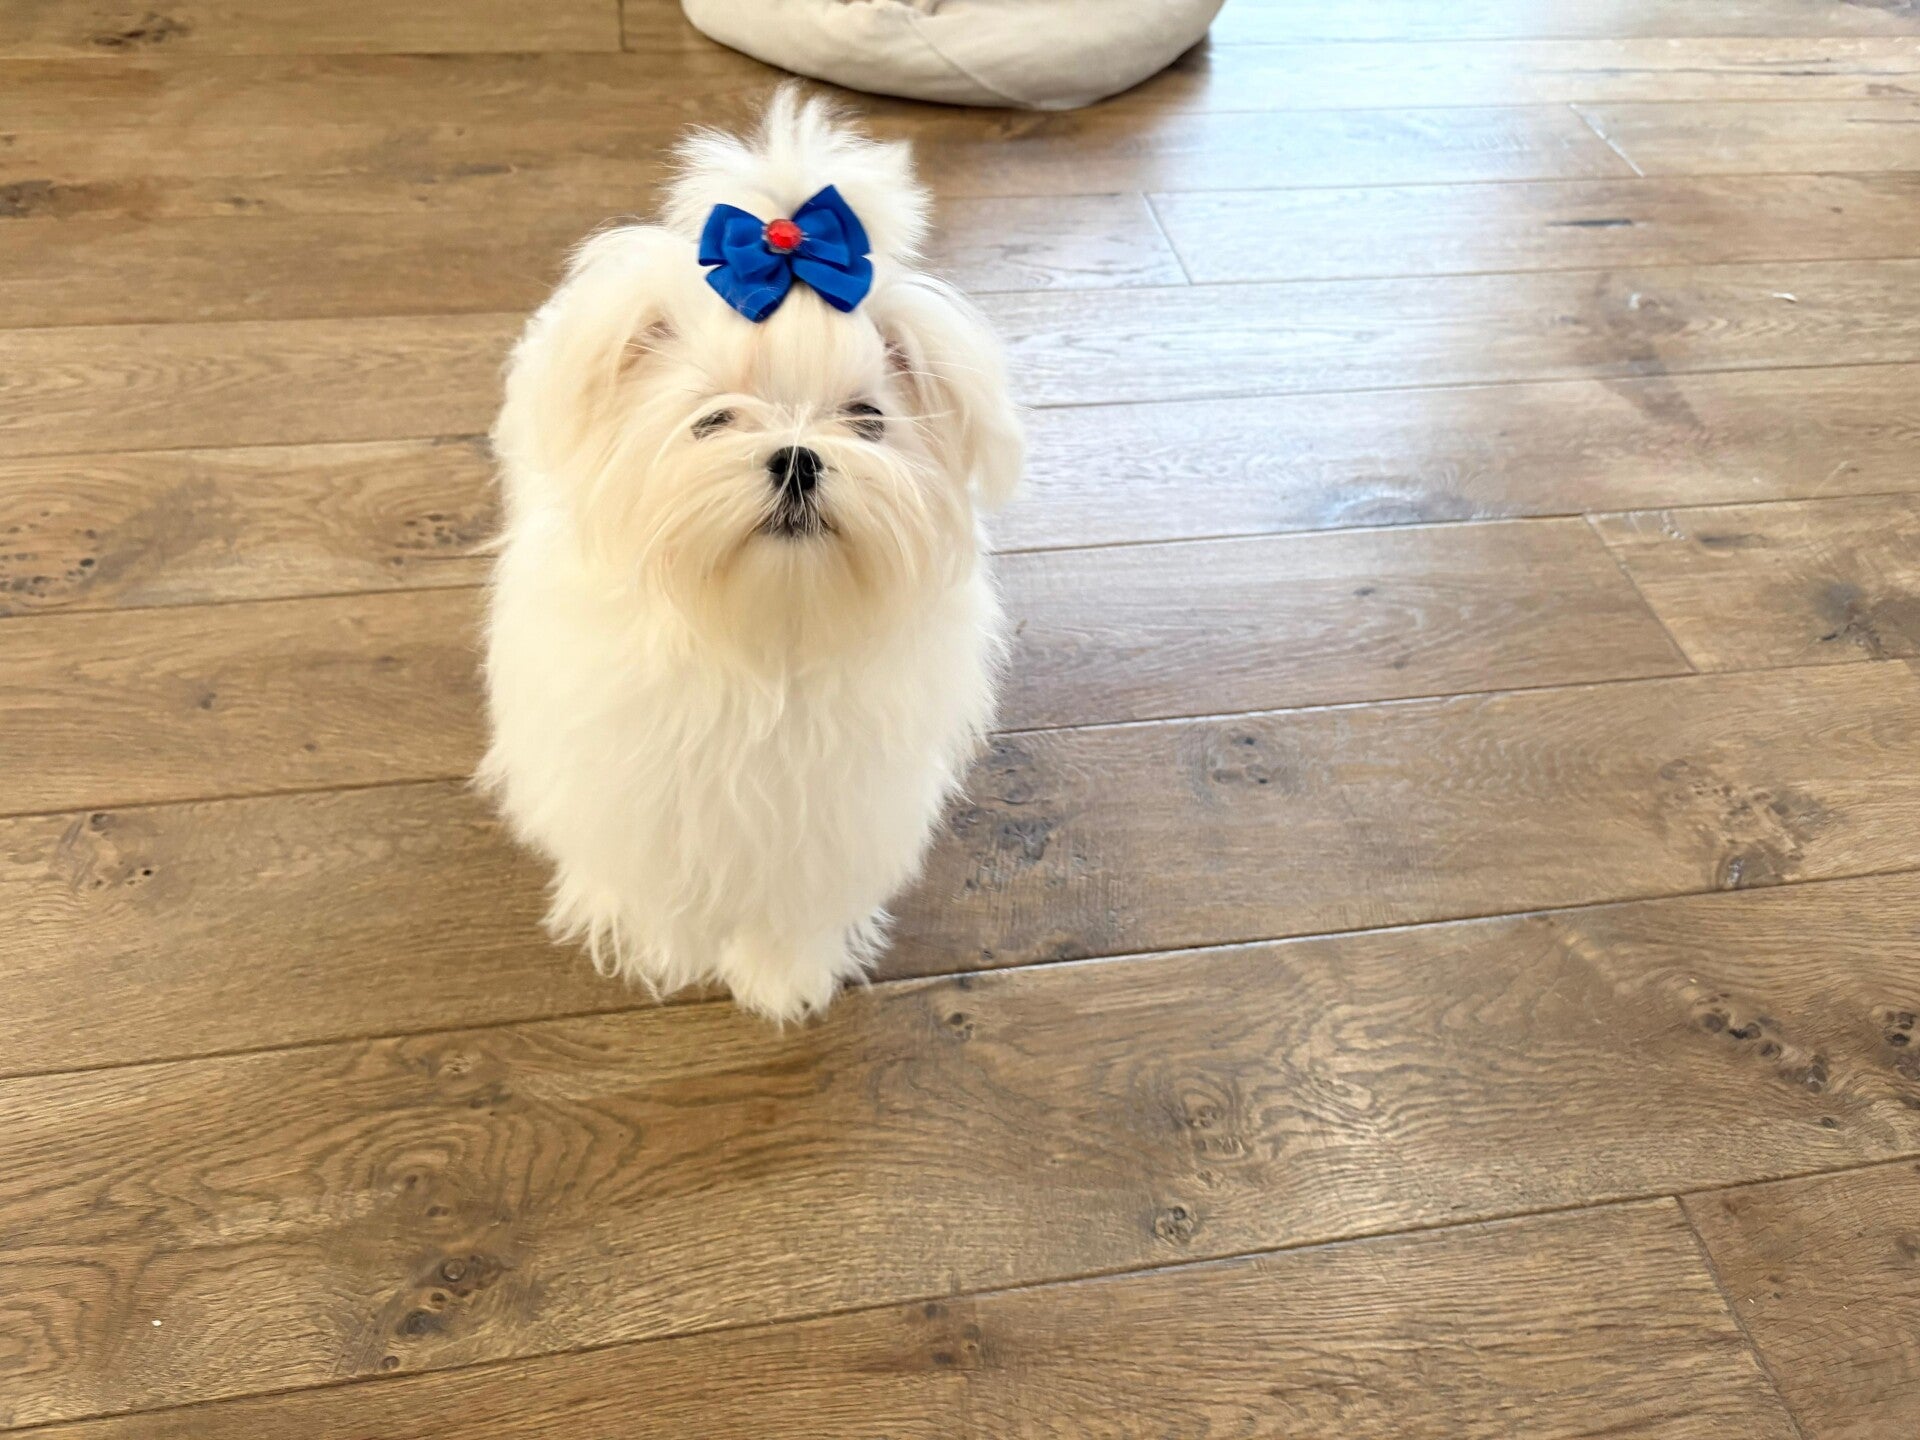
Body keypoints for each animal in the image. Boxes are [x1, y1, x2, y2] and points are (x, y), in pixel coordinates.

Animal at [481, 87, 1023, 1022]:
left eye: (866, 419)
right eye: (713, 420)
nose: (799, 458)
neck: (766, 626)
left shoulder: (829, 808)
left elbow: (795, 898)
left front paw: (782, 976)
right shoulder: (636, 782)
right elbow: (657, 877)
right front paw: (665, 948)